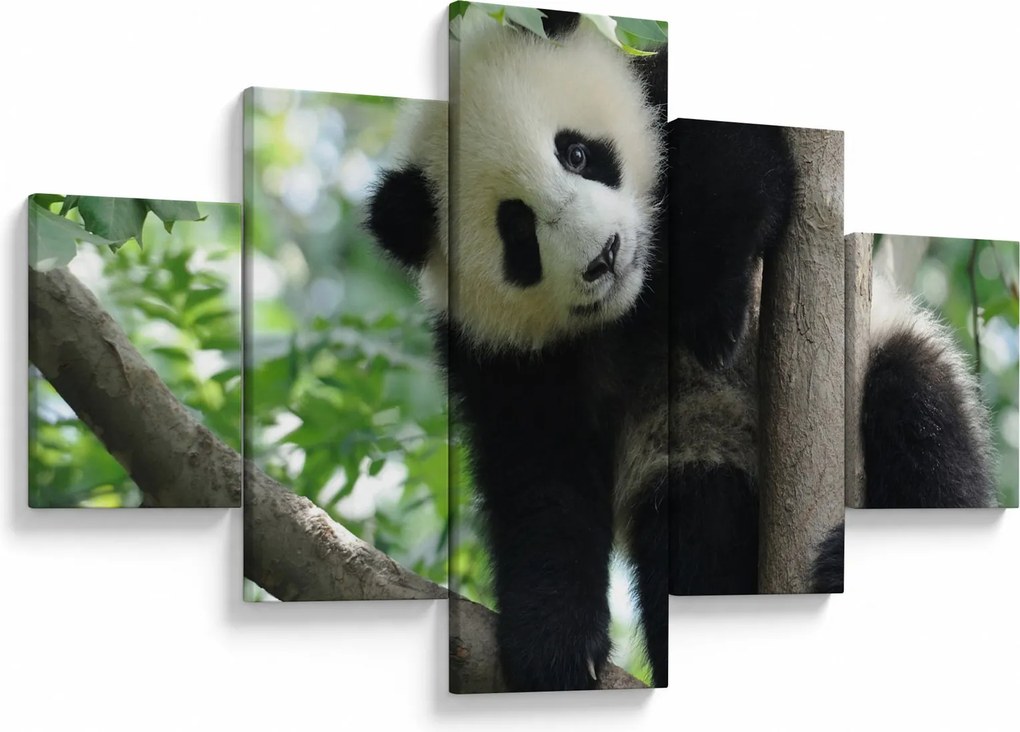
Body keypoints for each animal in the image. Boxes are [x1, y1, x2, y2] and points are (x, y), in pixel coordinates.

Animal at [365, 10, 996, 692]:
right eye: (519, 233)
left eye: (577, 153)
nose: (605, 255)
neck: (639, 299)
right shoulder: (500, 352)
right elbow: (541, 476)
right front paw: (554, 644)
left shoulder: (667, 94)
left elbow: (734, 159)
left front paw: (713, 312)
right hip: (690, 449)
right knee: (697, 537)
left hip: (885, 353)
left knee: (919, 425)